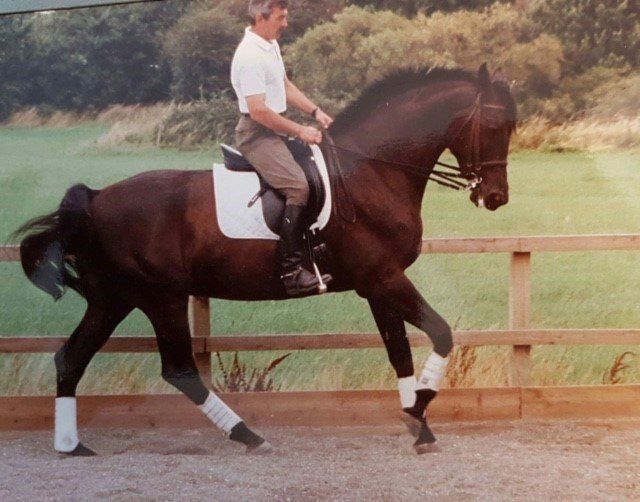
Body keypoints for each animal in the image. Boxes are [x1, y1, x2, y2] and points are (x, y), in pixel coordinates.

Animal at [14, 63, 517, 456]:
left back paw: (71, 446)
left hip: (114, 298)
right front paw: (420, 411)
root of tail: (95, 199)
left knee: (71, 359)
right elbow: (442, 333)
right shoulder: (385, 278)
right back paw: (248, 435)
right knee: (179, 370)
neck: (371, 170)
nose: (495, 198)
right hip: (161, 297)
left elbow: (399, 353)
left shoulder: (375, 285)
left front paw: (417, 424)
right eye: (495, 128)